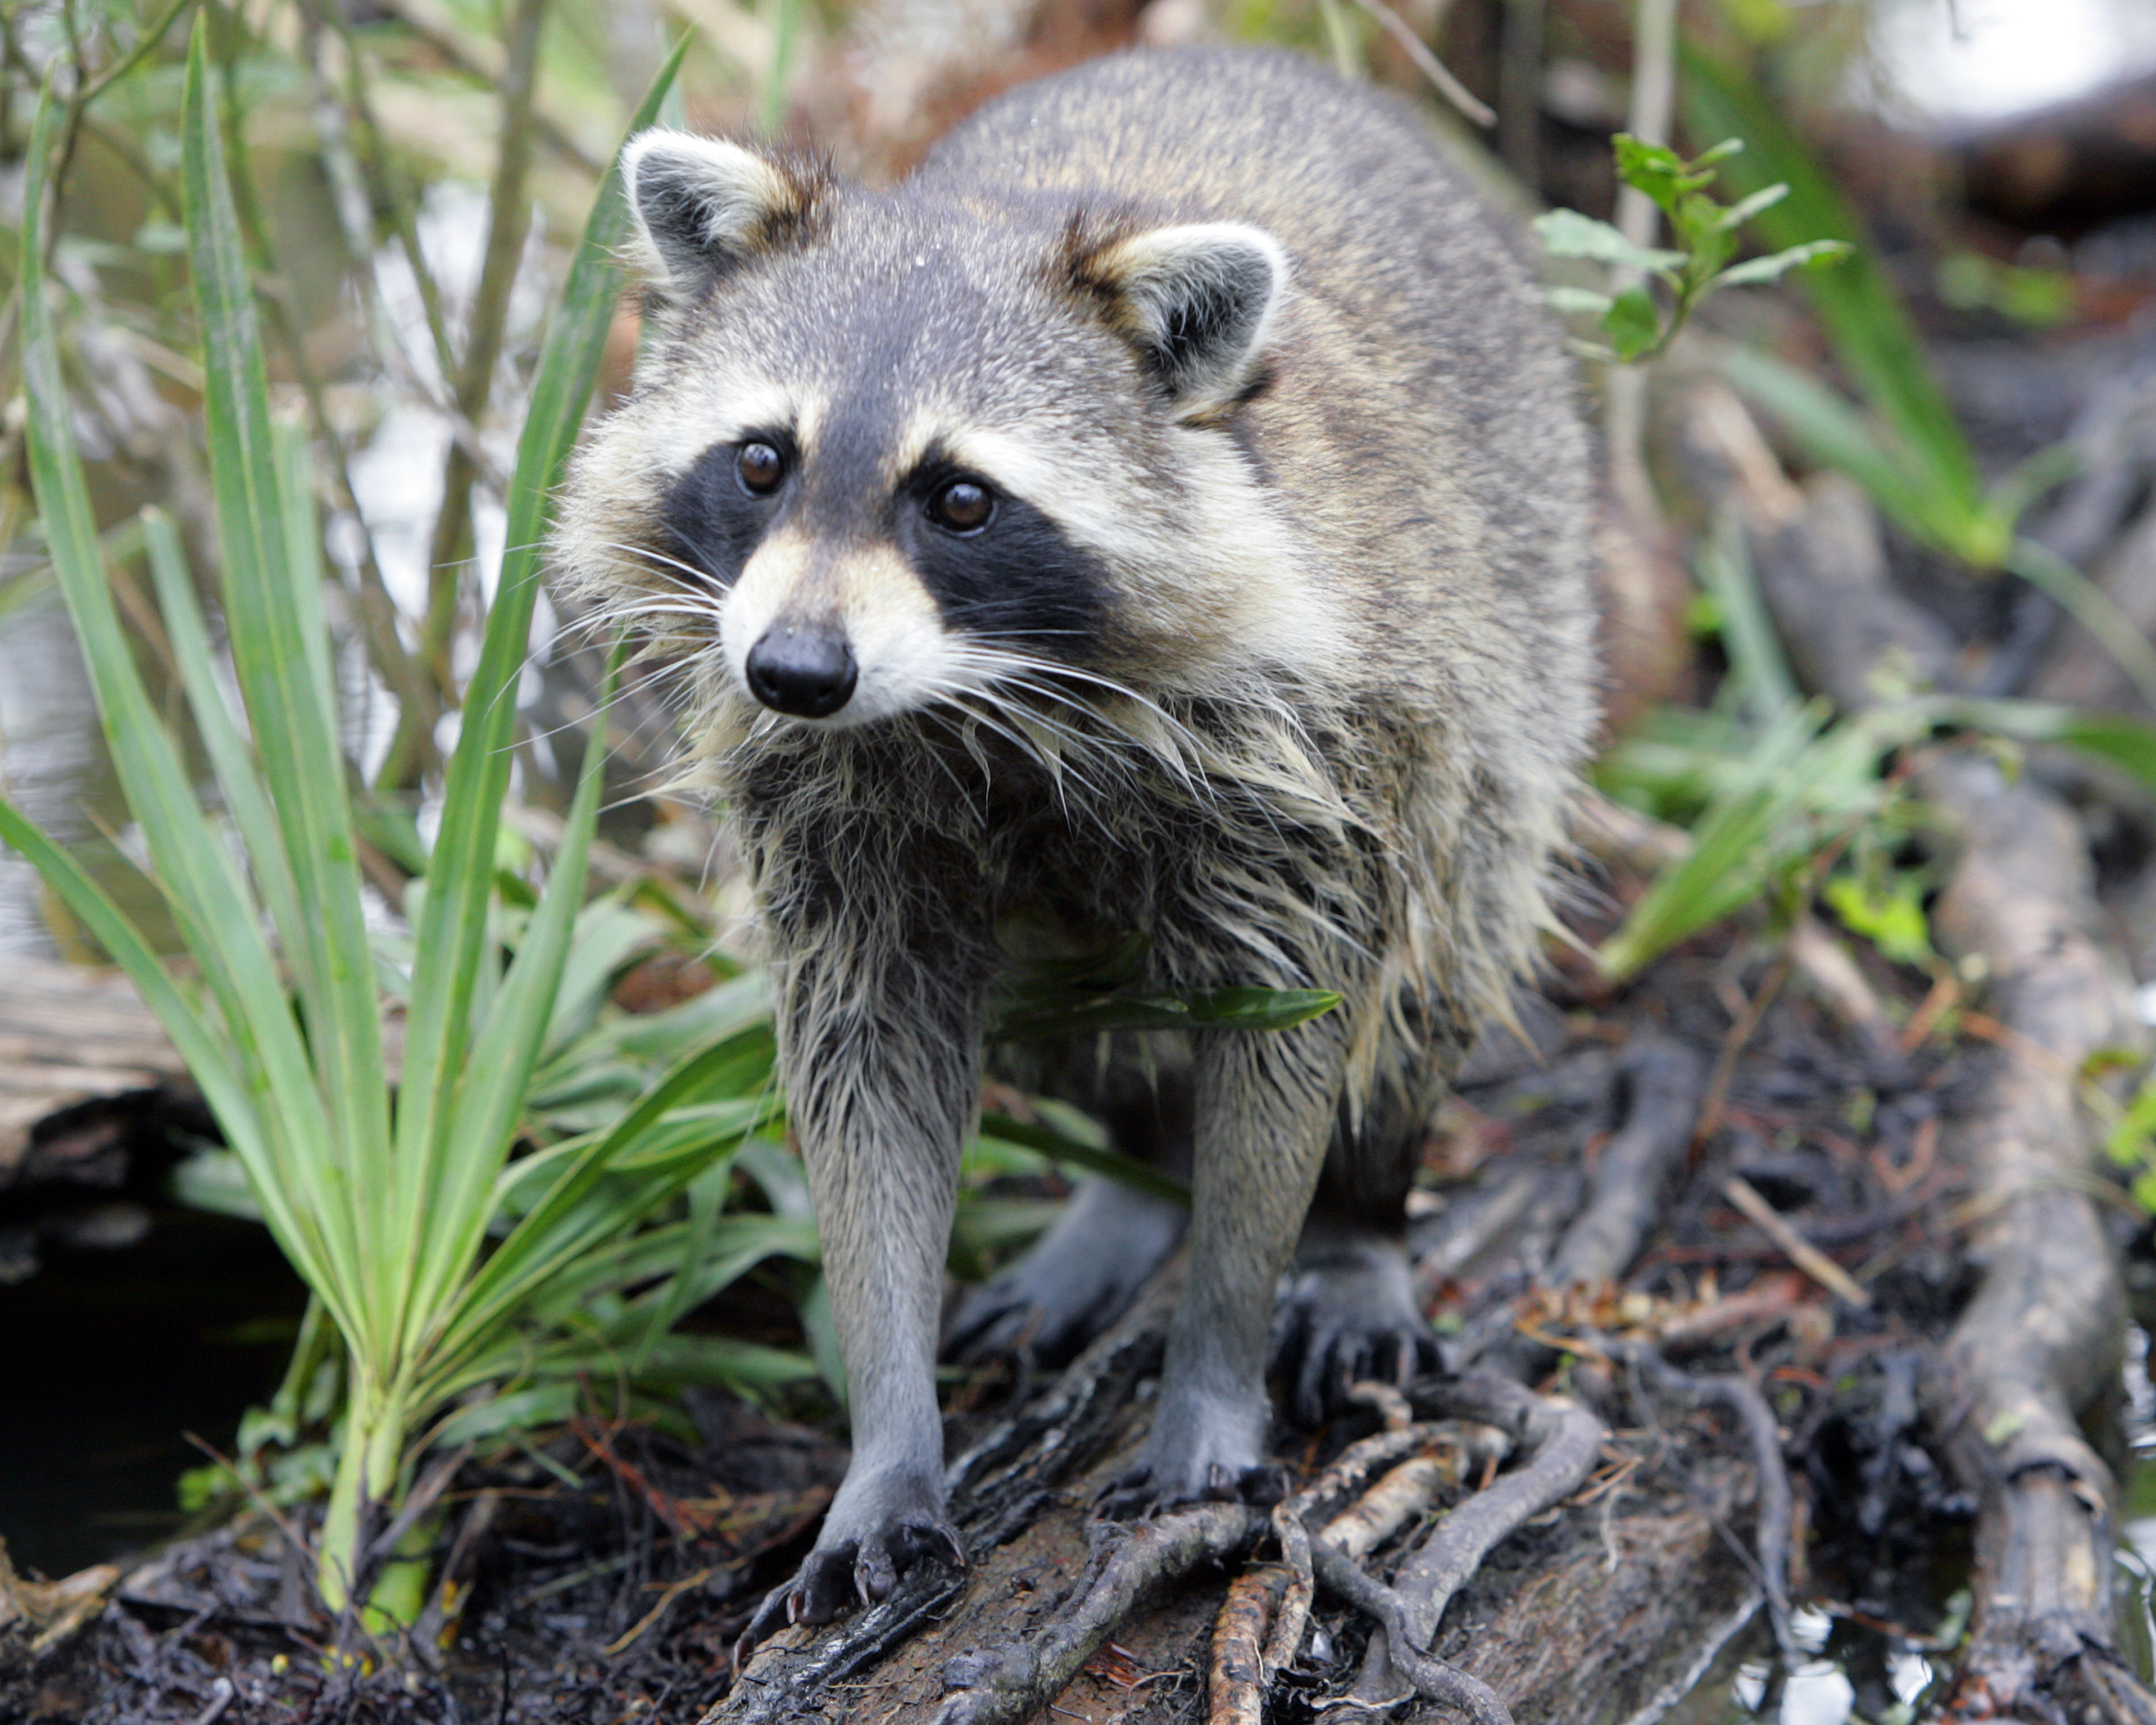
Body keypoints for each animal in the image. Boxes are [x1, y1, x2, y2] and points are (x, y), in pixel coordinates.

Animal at [553, 45, 1596, 1629]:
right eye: (760, 462)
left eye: (959, 498)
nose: (795, 671)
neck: (969, 695)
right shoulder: (834, 819)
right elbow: (867, 1080)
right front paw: (888, 1433)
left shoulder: (1306, 761)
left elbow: (1292, 1046)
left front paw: (1219, 1356)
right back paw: (1123, 1171)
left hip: (1513, 636)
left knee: (1441, 944)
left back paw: (1364, 1216)